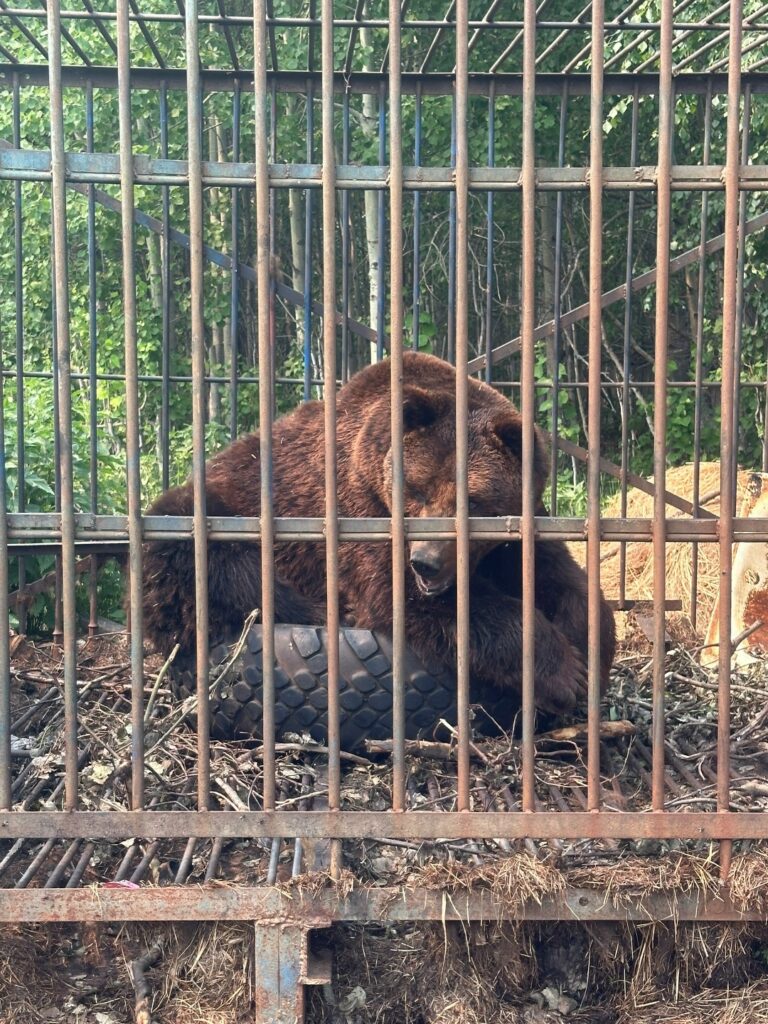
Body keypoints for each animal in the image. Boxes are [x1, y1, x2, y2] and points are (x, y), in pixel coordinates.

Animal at [141, 351, 616, 717]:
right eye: (418, 490)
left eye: (475, 501)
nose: (426, 562)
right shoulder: (357, 509)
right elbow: (398, 592)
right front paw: (562, 672)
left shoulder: (516, 528)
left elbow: (561, 576)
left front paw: (589, 651)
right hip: (220, 508)